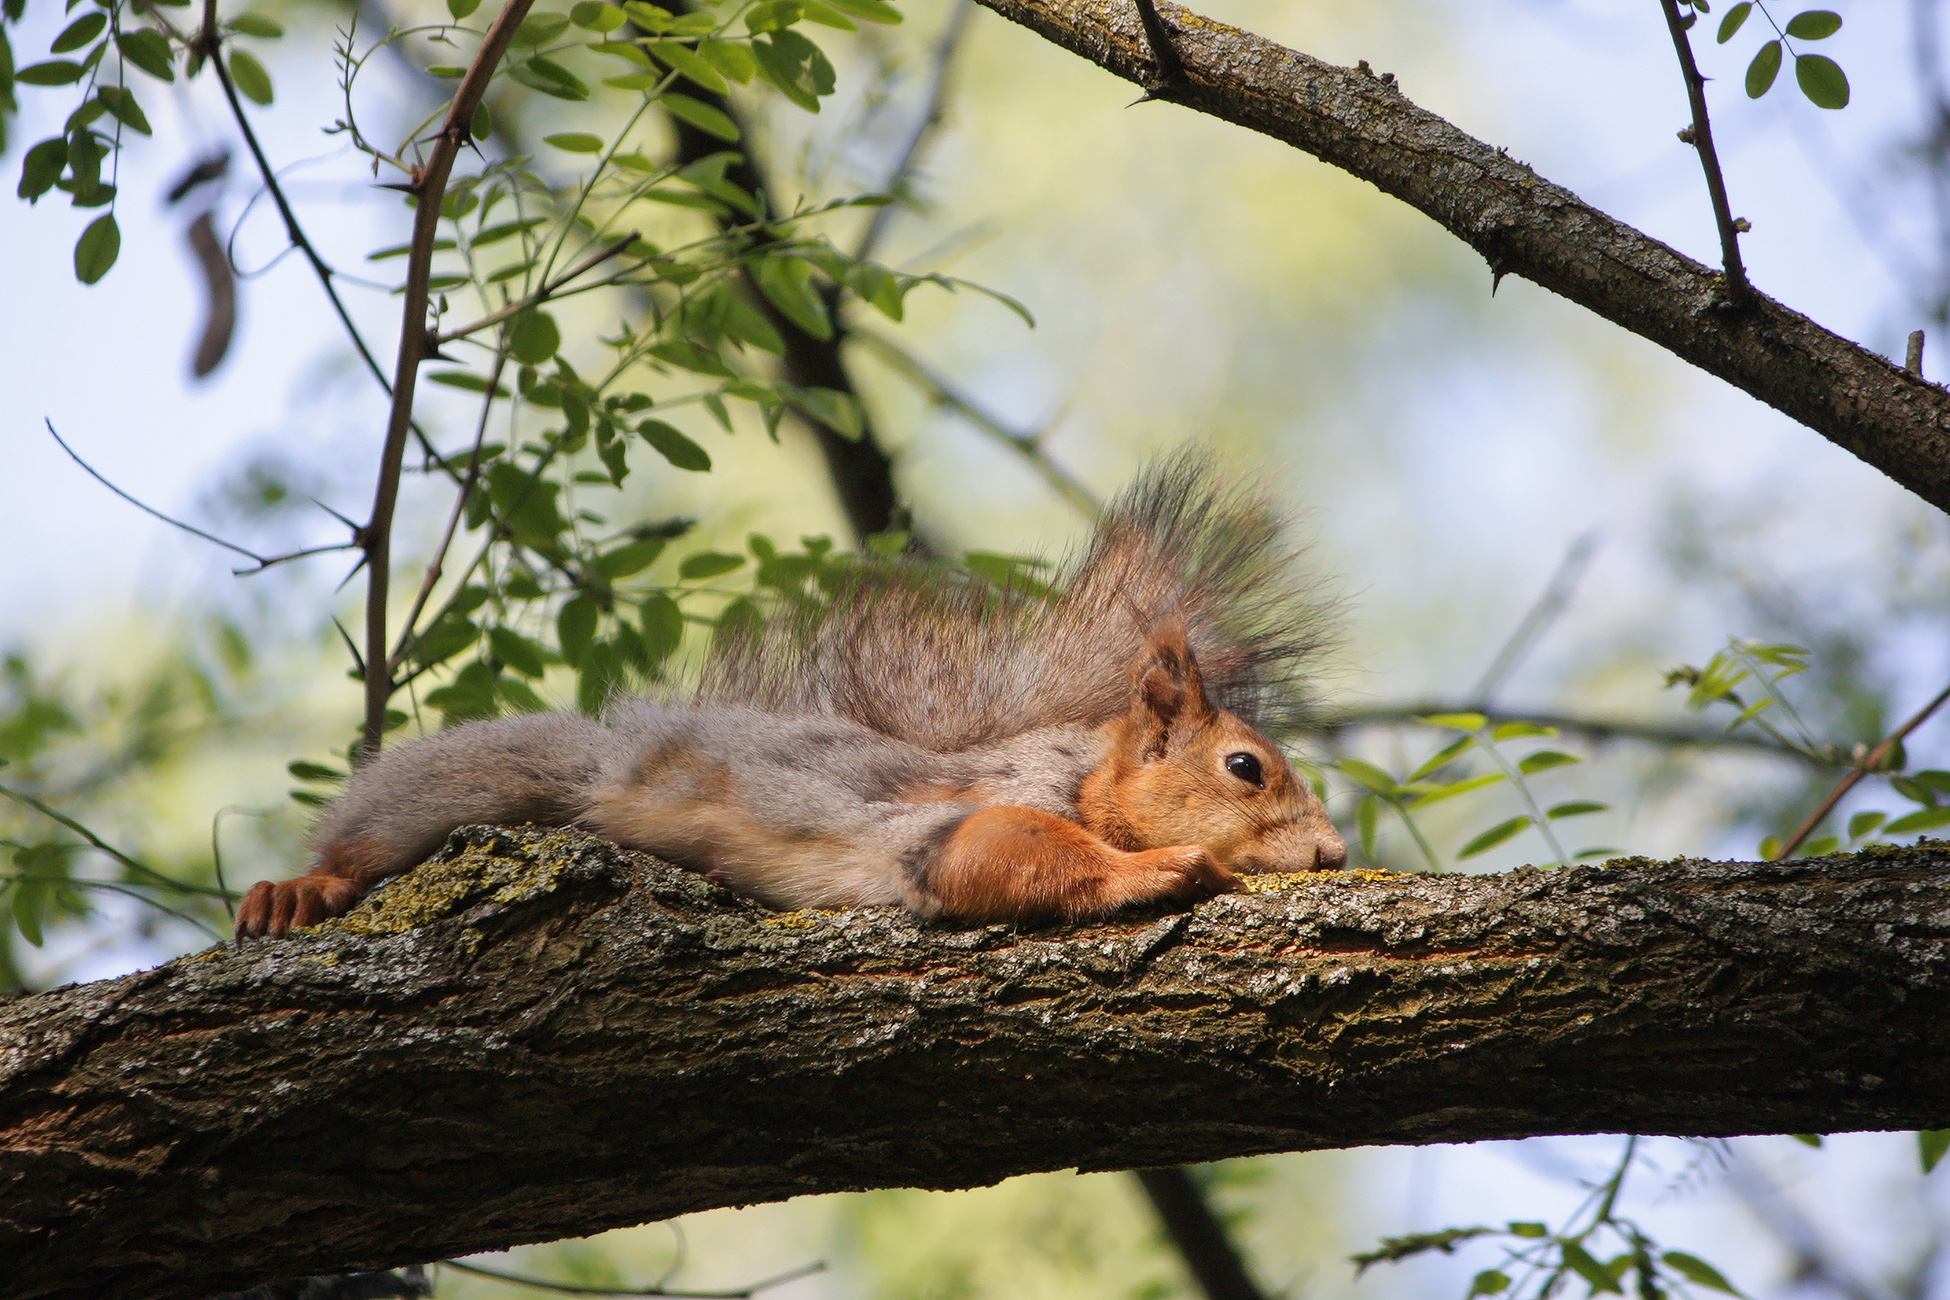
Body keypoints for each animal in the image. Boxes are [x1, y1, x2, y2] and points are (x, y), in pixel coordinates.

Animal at [235, 452, 1349, 939]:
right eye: (1245, 768)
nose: (1336, 853)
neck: (1083, 773)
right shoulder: (980, 807)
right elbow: (996, 853)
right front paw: (1164, 865)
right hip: (524, 770)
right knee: (386, 826)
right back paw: (305, 887)